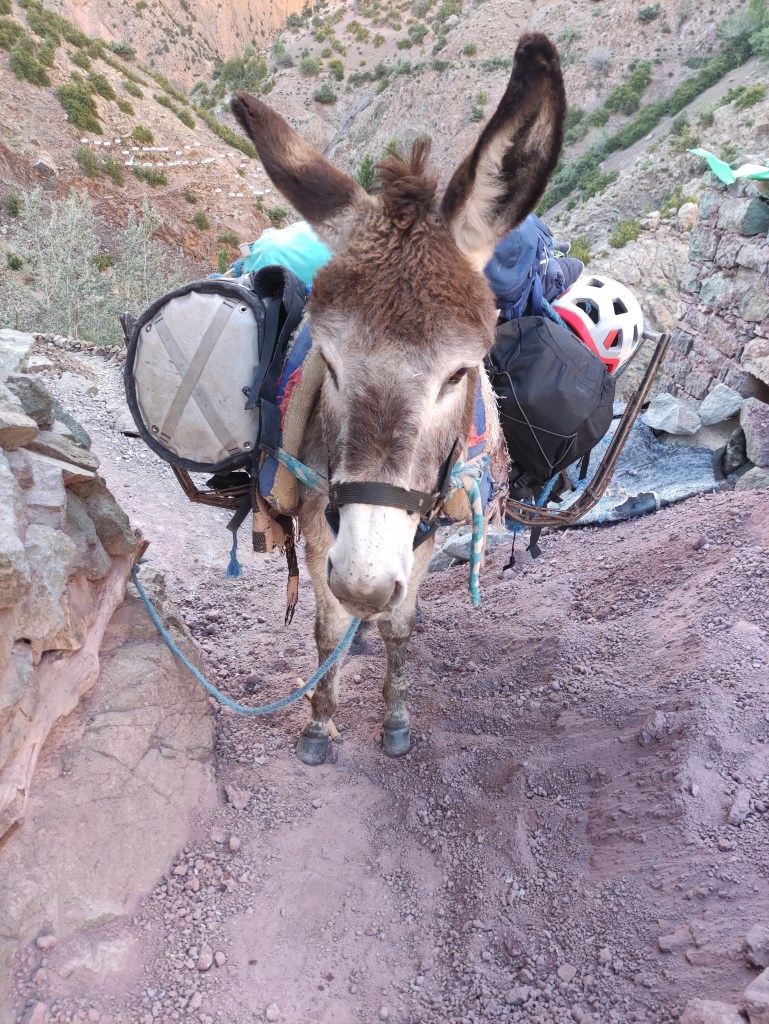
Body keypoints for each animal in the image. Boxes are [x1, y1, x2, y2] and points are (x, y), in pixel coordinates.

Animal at [231, 33, 566, 765]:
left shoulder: (421, 527)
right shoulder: (322, 520)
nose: (363, 578)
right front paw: (320, 725)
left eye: (459, 372)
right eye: (328, 360)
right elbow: (329, 626)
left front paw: (395, 721)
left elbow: (400, 624)